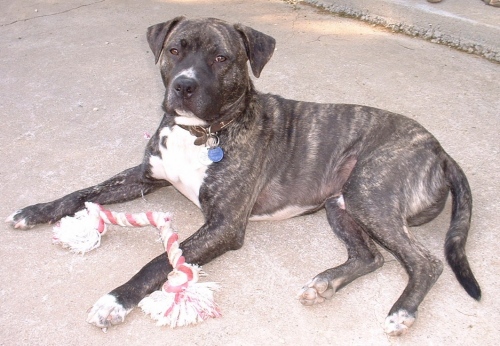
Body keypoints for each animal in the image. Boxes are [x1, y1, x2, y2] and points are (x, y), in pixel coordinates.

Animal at [4, 16, 480, 336]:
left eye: (221, 58)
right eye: (175, 50)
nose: (184, 85)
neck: (201, 132)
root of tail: (438, 148)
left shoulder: (224, 225)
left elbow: (159, 260)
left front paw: (115, 300)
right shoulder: (144, 176)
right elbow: (82, 192)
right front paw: (36, 210)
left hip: (369, 194)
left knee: (425, 261)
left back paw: (402, 311)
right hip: (340, 203)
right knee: (371, 257)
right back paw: (325, 284)